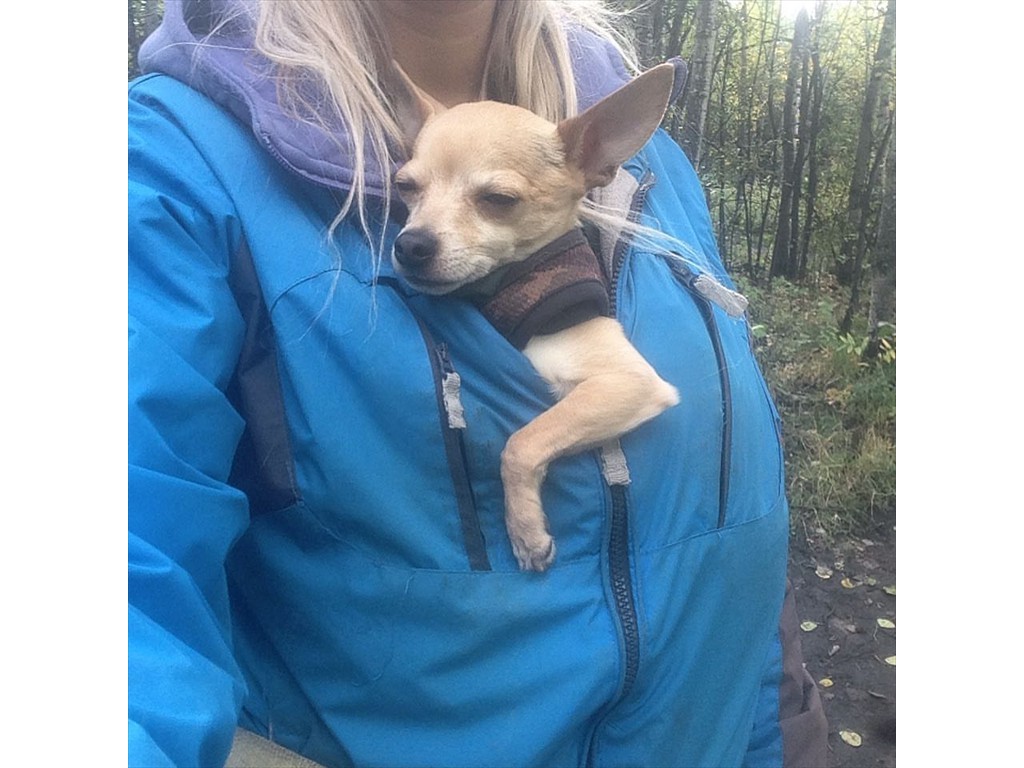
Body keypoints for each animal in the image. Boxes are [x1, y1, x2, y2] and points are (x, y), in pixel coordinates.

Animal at [395, 64, 684, 573]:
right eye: (404, 187)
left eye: (498, 199)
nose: (410, 244)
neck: (517, 288)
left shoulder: (628, 383)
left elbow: (522, 442)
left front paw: (526, 531)